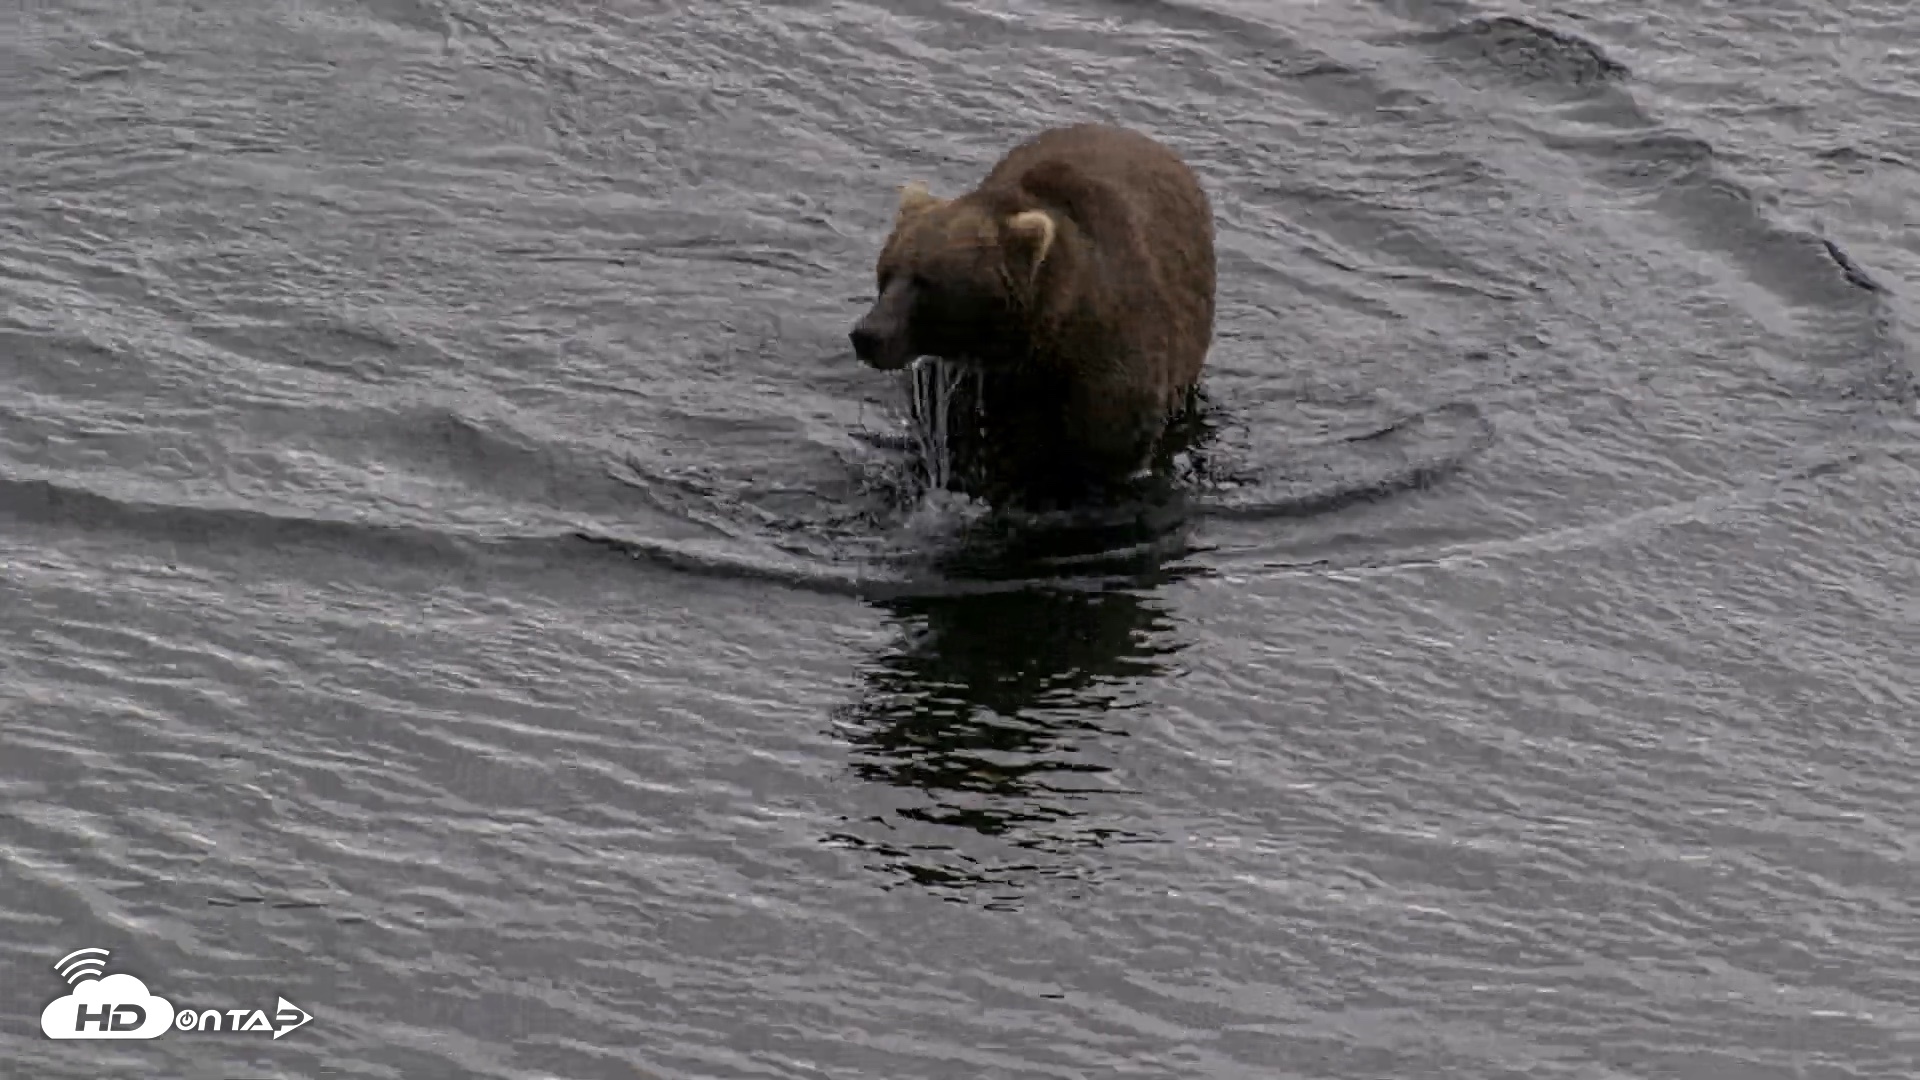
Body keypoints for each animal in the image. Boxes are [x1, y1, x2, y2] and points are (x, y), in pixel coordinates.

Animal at [849, 123, 1216, 508]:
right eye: (887, 273)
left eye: (926, 282)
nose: (867, 334)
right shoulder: (973, 382)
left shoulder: (1110, 360)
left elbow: (1111, 443)